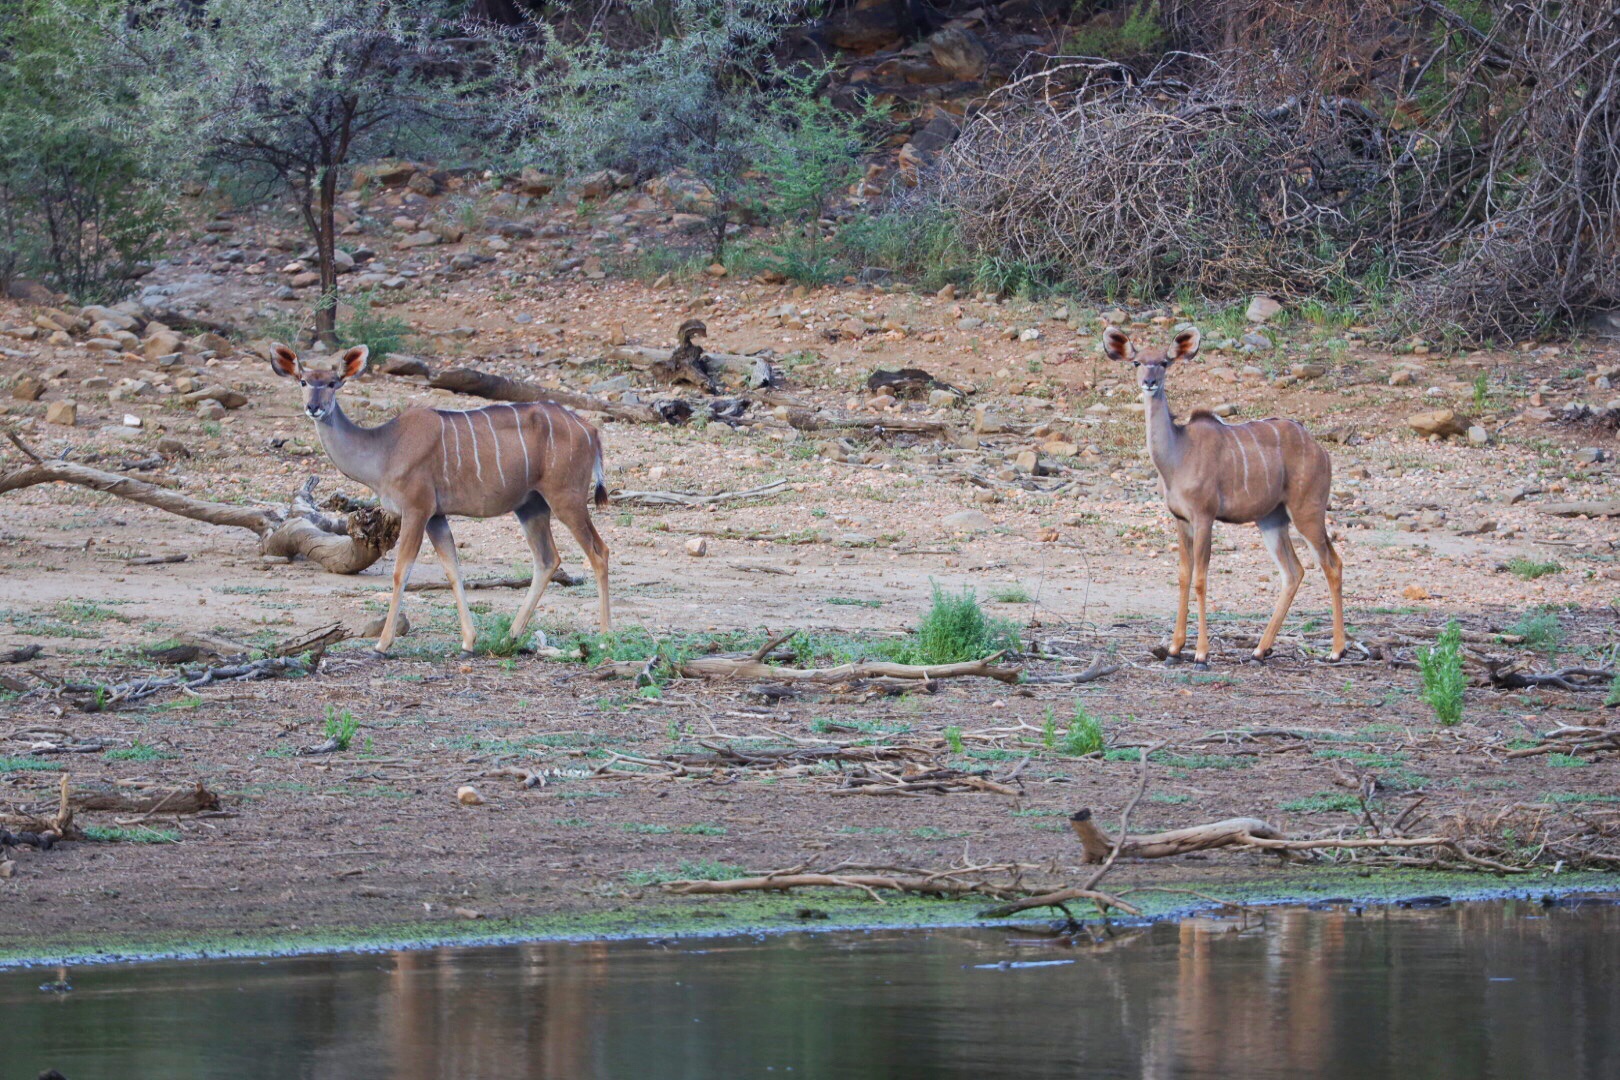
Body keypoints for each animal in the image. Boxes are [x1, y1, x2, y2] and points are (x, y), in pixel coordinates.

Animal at [275, 341, 609, 654]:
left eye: (333, 382)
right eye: (303, 381)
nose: (314, 407)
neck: (385, 447)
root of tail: (591, 431)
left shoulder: (417, 508)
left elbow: (401, 571)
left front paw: (382, 644)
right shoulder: (436, 516)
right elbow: (452, 569)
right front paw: (469, 642)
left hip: (566, 498)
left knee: (598, 551)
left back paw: (604, 637)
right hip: (531, 505)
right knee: (547, 559)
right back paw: (509, 636)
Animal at [1101, 325, 1354, 670]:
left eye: (1165, 362)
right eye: (1137, 362)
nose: (1149, 382)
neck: (1178, 455)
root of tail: (1321, 451)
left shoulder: (1204, 516)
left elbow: (1200, 578)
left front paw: (1201, 654)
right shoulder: (1181, 520)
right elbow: (1183, 575)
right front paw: (1174, 649)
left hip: (1307, 511)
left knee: (1332, 563)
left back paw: (1336, 651)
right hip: (1271, 519)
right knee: (1294, 571)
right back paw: (1259, 651)